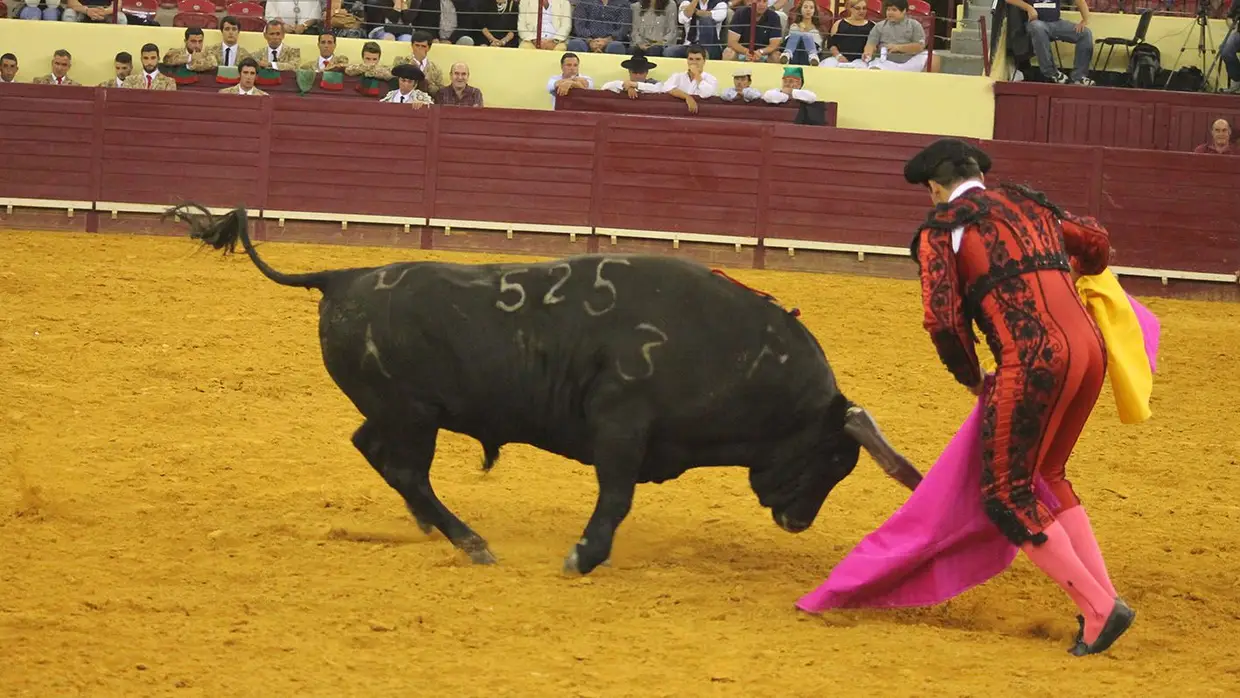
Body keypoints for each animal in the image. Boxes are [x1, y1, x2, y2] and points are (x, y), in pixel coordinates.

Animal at [167, 204, 922, 575]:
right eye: (834, 458)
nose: (799, 522)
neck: (732, 351)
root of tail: (341, 277)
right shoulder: (621, 429)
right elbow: (614, 500)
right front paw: (583, 557)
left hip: (399, 412)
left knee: (375, 451)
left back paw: (433, 529)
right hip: (412, 414)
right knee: (406, 468)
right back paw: (470, 542)